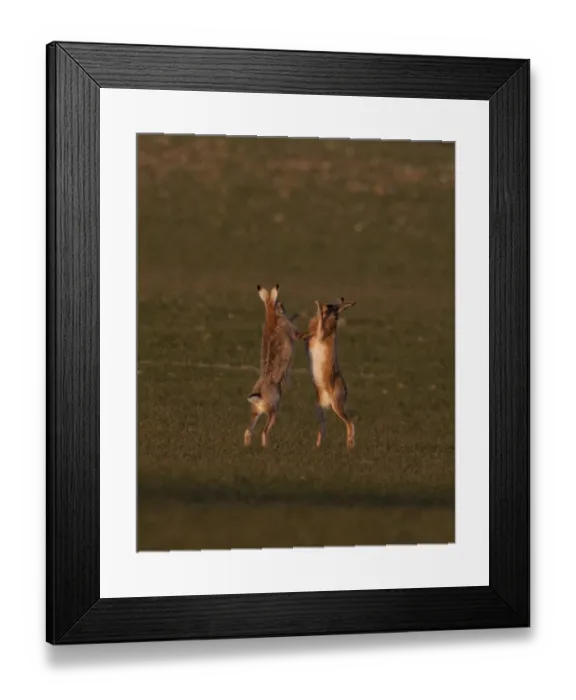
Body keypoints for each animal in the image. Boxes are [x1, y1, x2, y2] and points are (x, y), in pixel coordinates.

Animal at [244, 284, 301, 448]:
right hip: (273, 411)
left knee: (248, 430)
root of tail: (258, 397)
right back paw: (266, 447)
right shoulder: (294, 332)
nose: (284, 308)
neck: (271, 316)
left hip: (256, 412)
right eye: (279, 304)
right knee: (264, 431)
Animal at [300, 297, 357, 448]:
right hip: (318, 408)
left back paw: (350, 445)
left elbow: (319, 326)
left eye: (332, 306)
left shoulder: (321, 335)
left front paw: (317, 305)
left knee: (350, 422)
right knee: (323, 428)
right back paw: (317, 445)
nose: (325, 305)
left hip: (337, 406)